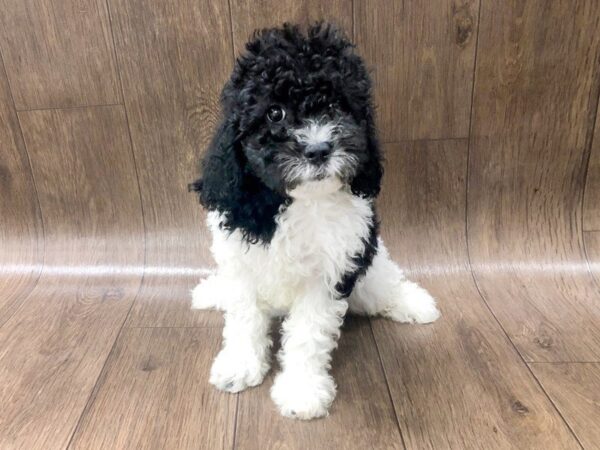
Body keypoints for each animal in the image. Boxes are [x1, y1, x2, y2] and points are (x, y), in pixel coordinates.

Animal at [190, 23, 438, 418]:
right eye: (274, 113)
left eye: (337, 105)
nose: (319, 149)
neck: (298, 201)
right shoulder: (240, 263)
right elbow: (243, 318)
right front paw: (239, 366)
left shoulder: (330, 272)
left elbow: (308, 334)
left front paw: (301, 391)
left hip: (369, 265)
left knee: (382, 283)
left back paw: (410, 302)